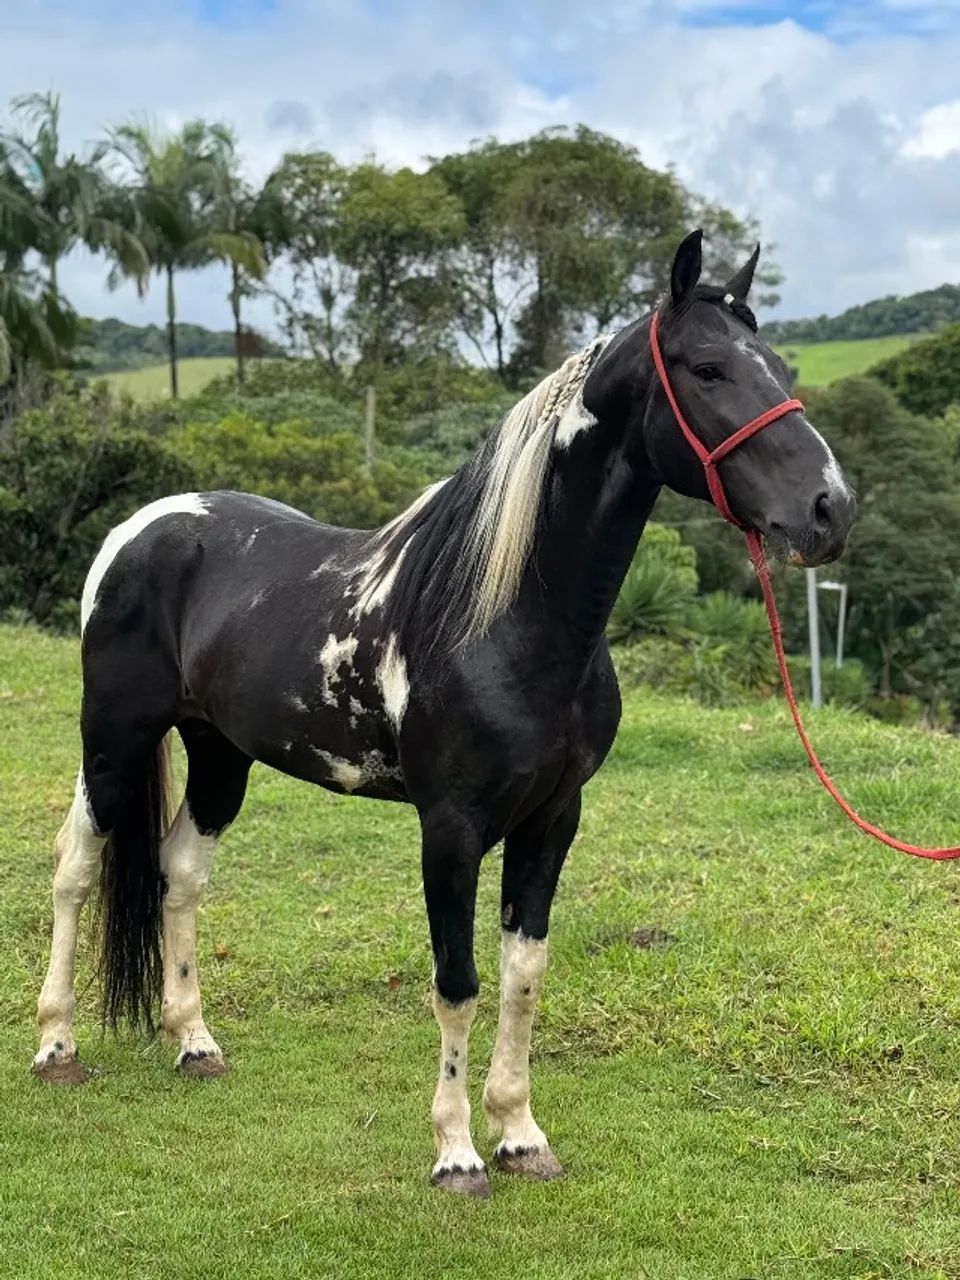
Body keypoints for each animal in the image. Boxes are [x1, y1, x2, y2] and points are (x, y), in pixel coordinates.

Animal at [32, 230, 856, 1198]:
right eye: (707, 367)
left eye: (779, 365)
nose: (830, 508)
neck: (508, 620)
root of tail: (142, 528)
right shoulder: (451, 828)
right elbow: (457, 982)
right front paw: (457, 1152)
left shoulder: (553, 819)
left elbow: (523, 974)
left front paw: (521, 1134)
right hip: (113, 741)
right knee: (77, 866)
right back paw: (57, 1045)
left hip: (219, 754)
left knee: (179, 871)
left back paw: (194, 1042)